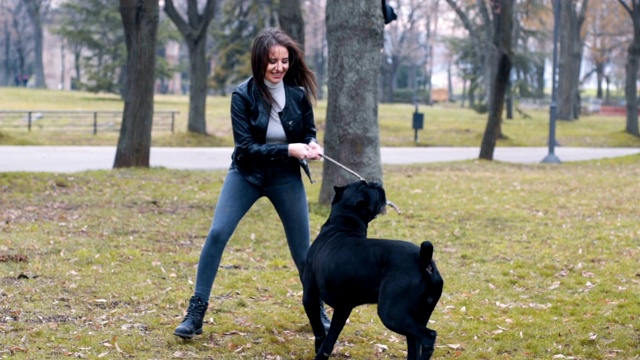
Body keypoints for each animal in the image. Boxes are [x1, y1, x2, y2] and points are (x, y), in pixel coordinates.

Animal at [302, 181, 442, 360]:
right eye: (364, 184)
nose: (374, 183)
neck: (342, 223)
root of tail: (424, 259)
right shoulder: (343, 307)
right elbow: (331, 338)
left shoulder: (310, 297)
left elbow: (320, 330)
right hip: (418, 314)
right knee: (414, 343)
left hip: (391, 313)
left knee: (428, 336)